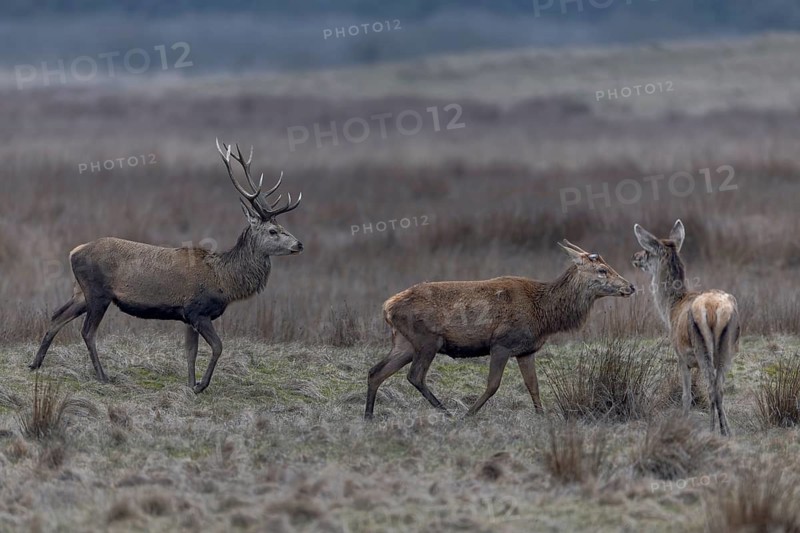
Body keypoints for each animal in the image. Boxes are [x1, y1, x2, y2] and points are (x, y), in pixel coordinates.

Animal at [30, 139, 304, 393]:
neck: (224, 281)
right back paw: (102, 376)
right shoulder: (197, 310)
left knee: (57, 316)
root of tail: (73, 252)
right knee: (87, 331)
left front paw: (191, 385)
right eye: (273, 231)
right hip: (98, 293)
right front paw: (201, 385)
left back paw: (35, 364)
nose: (299, 244)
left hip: (81, 292)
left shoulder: (187, 317)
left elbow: (191, 352)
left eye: (283, 227)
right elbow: (217, 346)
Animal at [365, 240, 636, 419]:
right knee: (415, 375)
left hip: (404, 342)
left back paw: (368, 416)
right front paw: (469, 415)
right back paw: (447, 413)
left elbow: (533, 385)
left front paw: (542, 417)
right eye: (602, 270)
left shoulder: (526, 350)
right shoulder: (502, 343)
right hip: (427, 340)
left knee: (375, 371)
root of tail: (387, 307)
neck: (545, 316)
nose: (630, 286)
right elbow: (493, 385)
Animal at [632, 220, 739, 435]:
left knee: (711, 388)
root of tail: (715, 308)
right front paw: (727, 429)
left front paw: (683, 421)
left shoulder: (680, 355)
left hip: (701, 346)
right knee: (720, 388)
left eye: (647, 251)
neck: (670, 309)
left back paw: (712, 430)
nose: (636, 257)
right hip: (728, 347)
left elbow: (686, 395)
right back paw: (726, 431)